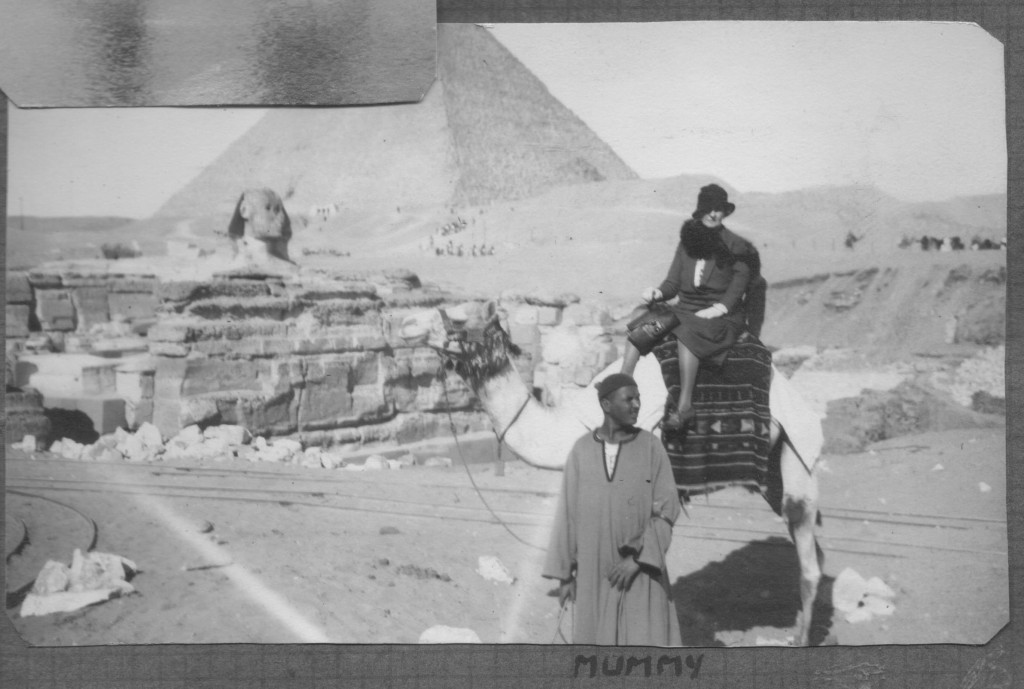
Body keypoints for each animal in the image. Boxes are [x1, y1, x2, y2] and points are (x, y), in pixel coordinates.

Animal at [403, 298, 827, 647]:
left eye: (459, 318)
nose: (406, 325)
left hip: (797, 450)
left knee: (804, 540)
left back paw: (801, 639)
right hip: (771, 471)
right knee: (810, 546)